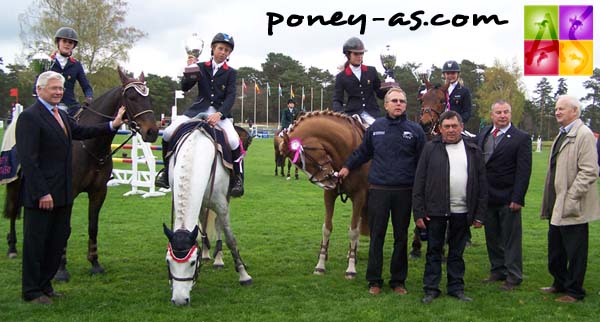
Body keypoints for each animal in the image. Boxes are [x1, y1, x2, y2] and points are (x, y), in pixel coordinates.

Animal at [162, 124, 251, 306]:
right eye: (168, 261)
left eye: (192, 263)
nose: (180, 300)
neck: (195, 154)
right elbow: (200, 227)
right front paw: (203, 252)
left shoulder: (221, 204)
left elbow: (230, 239)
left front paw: (243, 275)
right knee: (203, 221)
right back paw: (206, 252)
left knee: (217, 224)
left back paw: (218, 259)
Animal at [282, 111, 370, 280]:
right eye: (299, 164)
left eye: (303, 160)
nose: (329, 180)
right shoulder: (329, 195)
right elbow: (327, 228)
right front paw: (320, 265)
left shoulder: (359, 196)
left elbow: (353, 230)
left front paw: (351, 269)